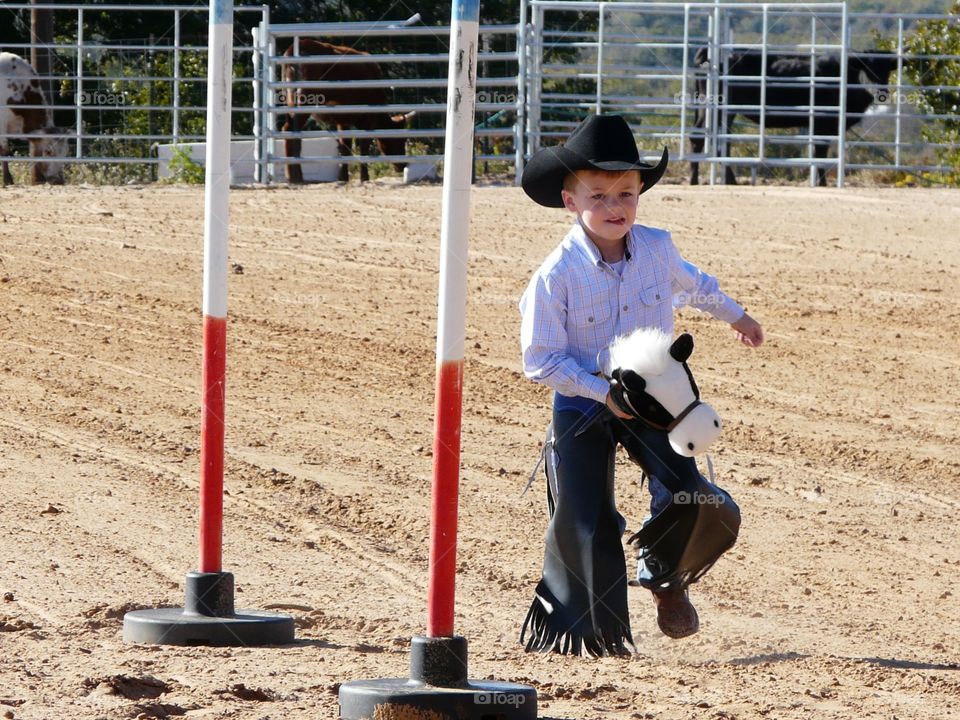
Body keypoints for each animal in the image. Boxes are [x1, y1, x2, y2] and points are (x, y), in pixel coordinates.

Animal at [280, 39, 410, 184]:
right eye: (398, 139)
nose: (403, 165)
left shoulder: (342, 120)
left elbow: (345, 145)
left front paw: (343, 177)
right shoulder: (368, 119)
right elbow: (363, 146)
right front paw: (364, 177)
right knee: (291, 131)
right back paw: (295, 176)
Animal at [688, 49, 900, 186]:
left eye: (887, 70)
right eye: (867, 68)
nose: (881, 91)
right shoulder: (823, 122)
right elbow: (820, 152)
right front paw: (822, 183)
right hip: (717, 108)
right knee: (701, 137)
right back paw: (699, 179)